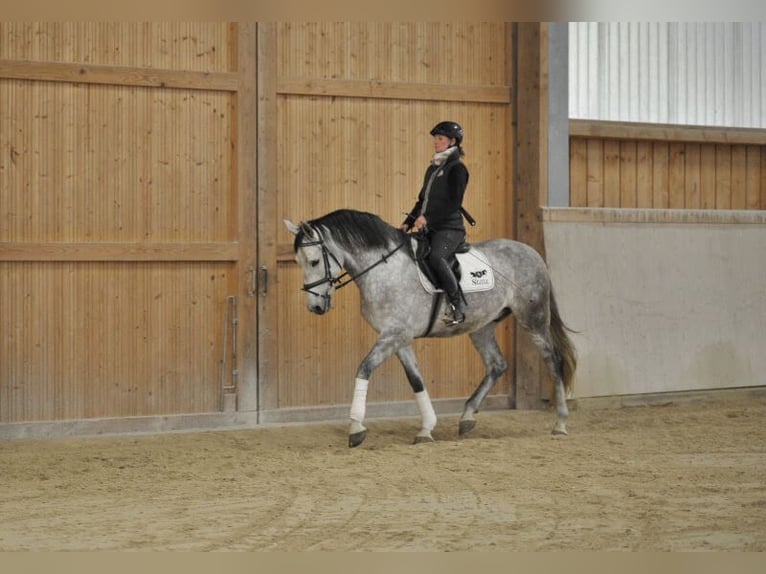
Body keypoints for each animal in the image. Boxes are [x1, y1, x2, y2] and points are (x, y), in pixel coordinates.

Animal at [286, 209, 576, 448]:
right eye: (298, 262)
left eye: (314, 261)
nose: (315, 307)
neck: (384, 270)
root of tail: (531, 252)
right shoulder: (399, 338)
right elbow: (416, 379)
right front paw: (426, 428)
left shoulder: (394, 335)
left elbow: (364, 368)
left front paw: (356, 427)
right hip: (482, 326)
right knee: (497, 364)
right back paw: (467, 417)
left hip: (533, 318)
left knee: (553, 360)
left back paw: (561, 422)